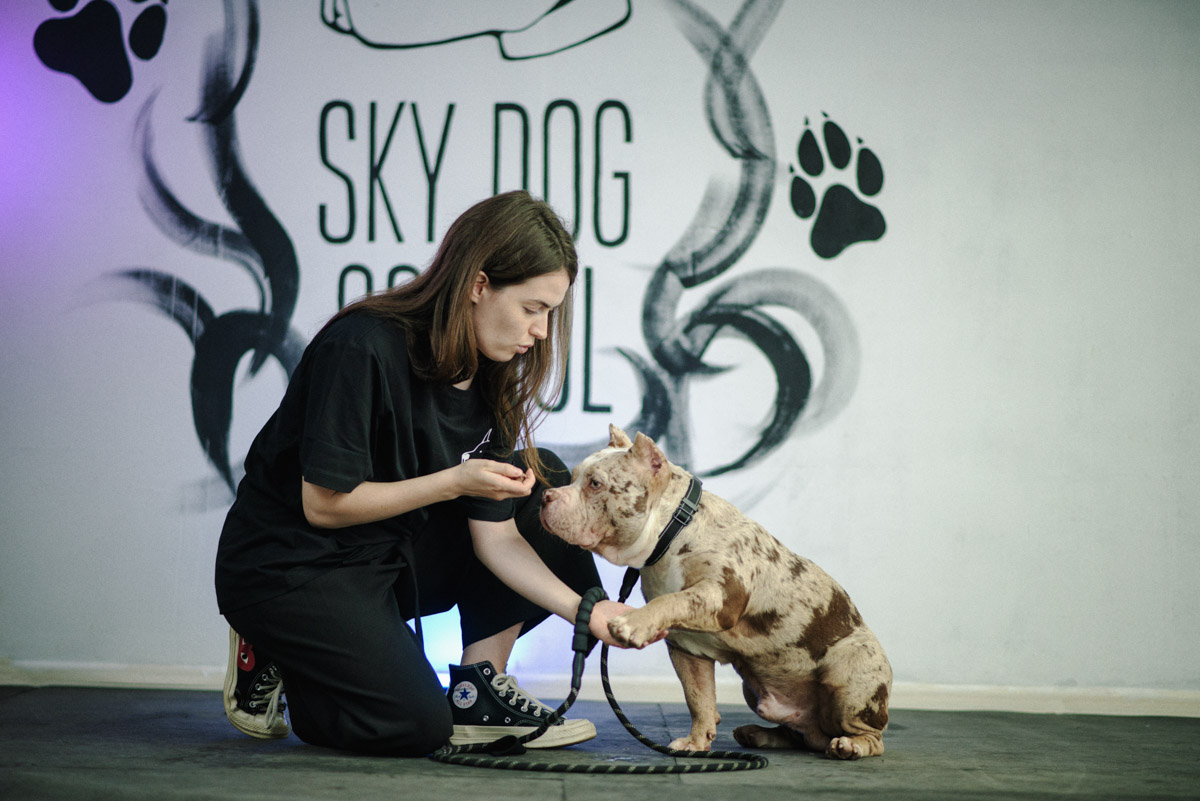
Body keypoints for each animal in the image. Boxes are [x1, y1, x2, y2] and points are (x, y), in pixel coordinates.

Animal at [542, 422, 892, 762]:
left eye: (595, 484)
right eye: (572, 477)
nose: (546, 495)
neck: (672, 530)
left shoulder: (719, 595)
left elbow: (674, 599)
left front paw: (632, 623)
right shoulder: (687, 648)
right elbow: (699, 699)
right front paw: (696, 743)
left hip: (850, 674)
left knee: (869, 736)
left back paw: (849, 746)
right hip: (756, 693)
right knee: (801, 734)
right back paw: (758, 734)